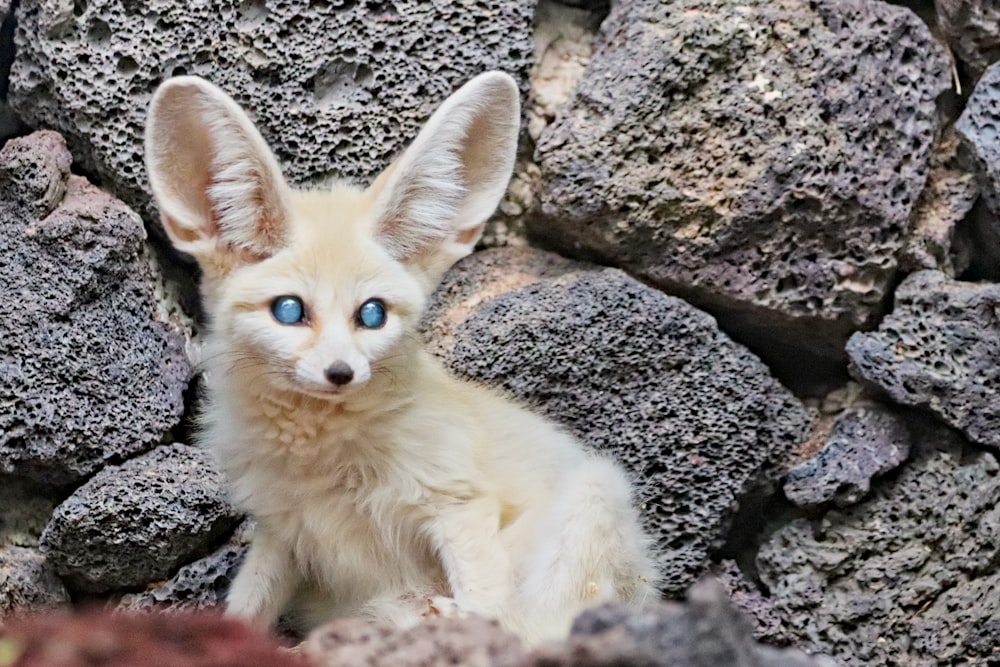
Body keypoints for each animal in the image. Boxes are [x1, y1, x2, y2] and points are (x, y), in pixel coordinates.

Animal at [141, 70, 656, 644]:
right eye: (290, 310)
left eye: (372, 314)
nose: (340, 373)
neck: (320, 455)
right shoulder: (282, 529)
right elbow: (248, 606)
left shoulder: (459, 503)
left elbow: (489, 605)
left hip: (595, 490)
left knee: (534, 628)